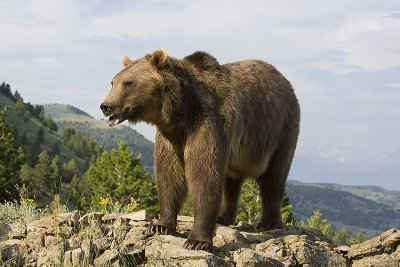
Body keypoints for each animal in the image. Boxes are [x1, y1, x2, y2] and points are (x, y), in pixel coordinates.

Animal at [101, 48, 300, 253]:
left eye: (128, 83)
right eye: (113, 82)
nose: (106, 106)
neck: (182, 110)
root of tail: (284, 80)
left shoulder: (208, 122)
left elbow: (204, 174)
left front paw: (197, 241)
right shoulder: (170, 137)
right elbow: (169, 175)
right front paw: (159, 225)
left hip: (279, 129)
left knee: (274, 177)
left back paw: (269, 222)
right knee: (231, 179)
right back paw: (223, 216)